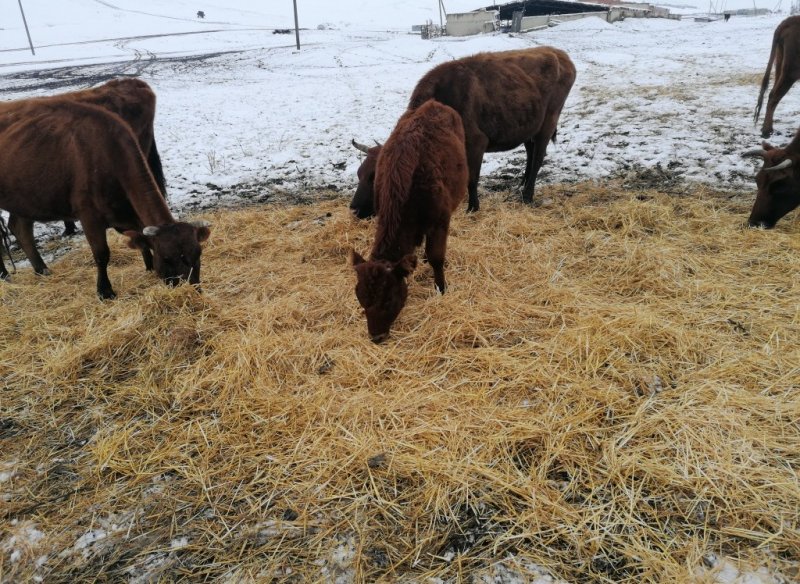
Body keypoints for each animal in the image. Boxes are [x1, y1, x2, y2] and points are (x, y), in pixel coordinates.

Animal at [0, 100, 211, 298]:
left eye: (198, 254)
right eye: (167, 258)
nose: (193, 291)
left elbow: (142, 241)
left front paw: (149, 267)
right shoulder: (89, 216)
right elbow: (102, 254)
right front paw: (105, 291)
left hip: (25, 198)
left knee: (20, 228)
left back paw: (42, 270)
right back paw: (5, 274)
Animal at [350, 46, 576, 218]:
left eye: (374, 177)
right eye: (359, 173)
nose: (353, 209)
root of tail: (559, 53)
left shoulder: (476, 142)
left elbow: (471, 178)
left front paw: (473, 208)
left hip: (549, 120)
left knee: (538, 157)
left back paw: (527, 196)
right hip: (529, 124)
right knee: (530, 151)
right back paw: (521, 186)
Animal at [350, 100, 468, 344]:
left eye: (388, 298)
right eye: (360, 297)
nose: (376, 336)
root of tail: (435, 104)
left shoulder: (440, 222)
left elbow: (436, 257)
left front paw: (441, 288)